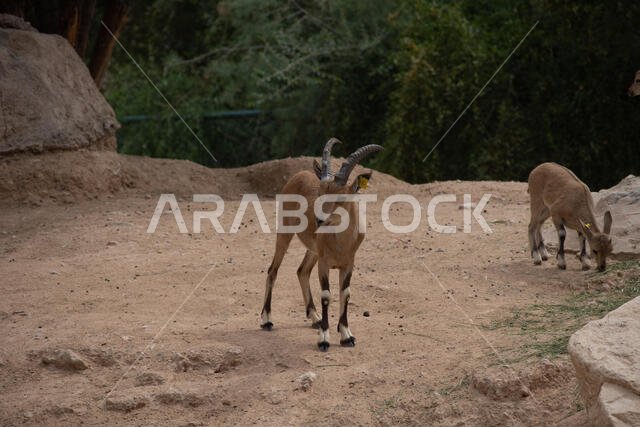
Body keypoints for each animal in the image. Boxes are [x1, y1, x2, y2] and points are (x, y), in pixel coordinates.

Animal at [260, 138, 383, 351]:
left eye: (340, 197)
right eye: (321, 192)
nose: (319, 220)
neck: (342, 243)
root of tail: (298, 175)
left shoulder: (348, 264)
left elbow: (345, 293)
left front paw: (346, 335)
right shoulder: (324, 264)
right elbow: (326, 295)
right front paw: (324, 340)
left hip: (313, 251)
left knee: (302, 271)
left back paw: (315, 318)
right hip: (285, 233)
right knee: (273, 270)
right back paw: (267, 320)